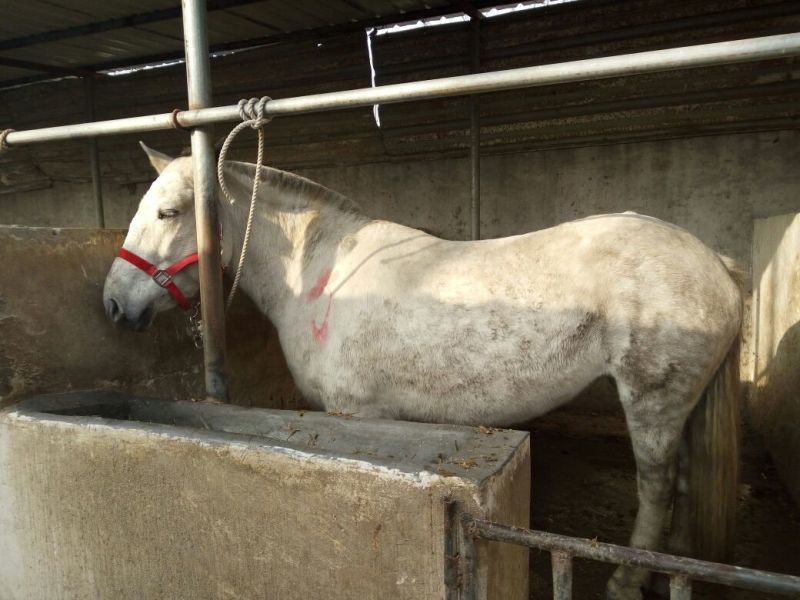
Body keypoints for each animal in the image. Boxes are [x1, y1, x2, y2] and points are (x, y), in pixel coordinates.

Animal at [103, 143, 742, 600]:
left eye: (168, 212)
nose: (112, 303)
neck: (323, 274)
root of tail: (714, 262)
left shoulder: (356, 414)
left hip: (651, 402)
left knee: (656, 488)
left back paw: (627, 582)